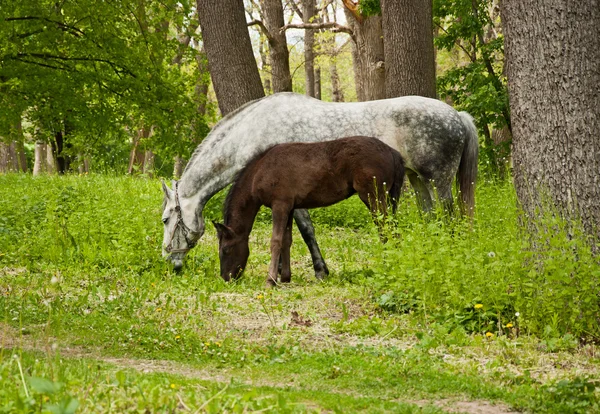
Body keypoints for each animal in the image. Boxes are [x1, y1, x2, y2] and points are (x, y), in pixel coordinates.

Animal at [211, 137, 404, 286]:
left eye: (225, 250)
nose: (226, 278)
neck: (260, 171)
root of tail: (393, 152)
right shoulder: (289, 207)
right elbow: (286, 240)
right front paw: (285, 277)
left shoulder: (279, 204)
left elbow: (275, 241)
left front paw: (270, 280)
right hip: (387, 199)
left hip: (374, 197)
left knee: (385, 230)